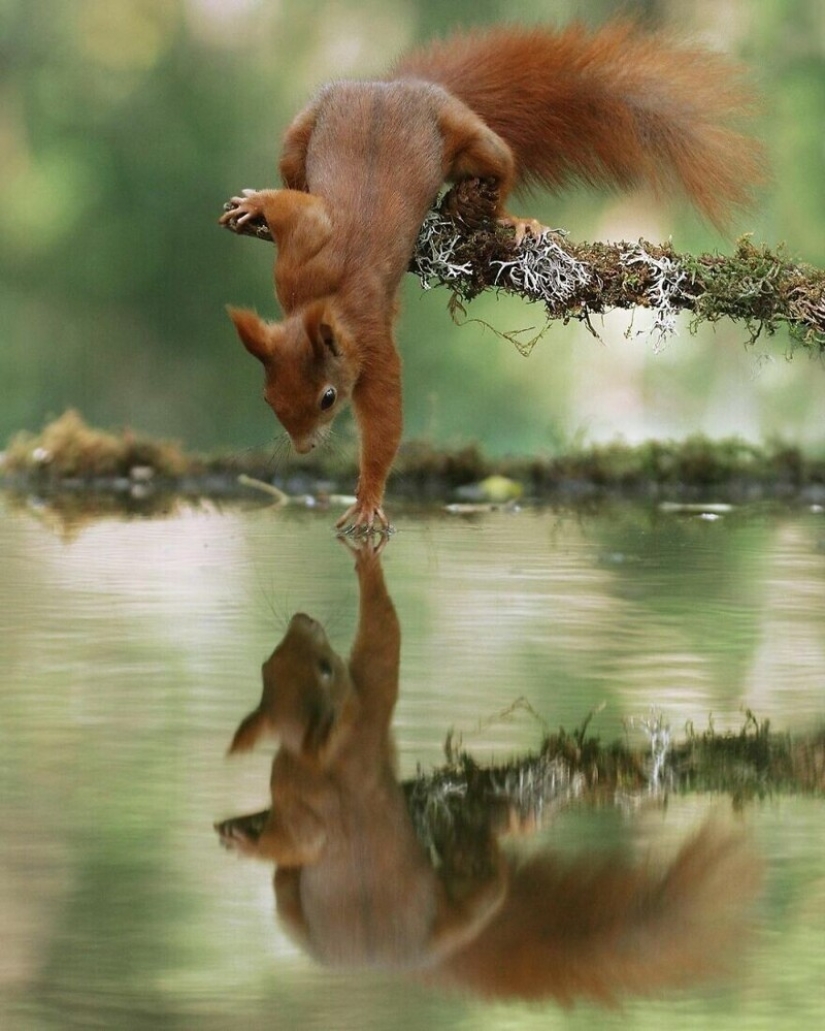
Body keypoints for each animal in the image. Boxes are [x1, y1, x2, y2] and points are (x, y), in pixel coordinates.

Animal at [218, 24, 759, 531]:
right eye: (267, 396)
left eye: (328, 398)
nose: (304, 448)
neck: (323, 301)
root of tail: (398, 85)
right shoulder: (301, 254)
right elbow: (296, 207)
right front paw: (254, 204)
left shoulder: (371, 343)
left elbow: (386, 424)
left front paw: (369, 500)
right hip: (303, 131)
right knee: (293, 170)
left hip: (468, 137)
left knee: (500, 164)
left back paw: (511, 219)